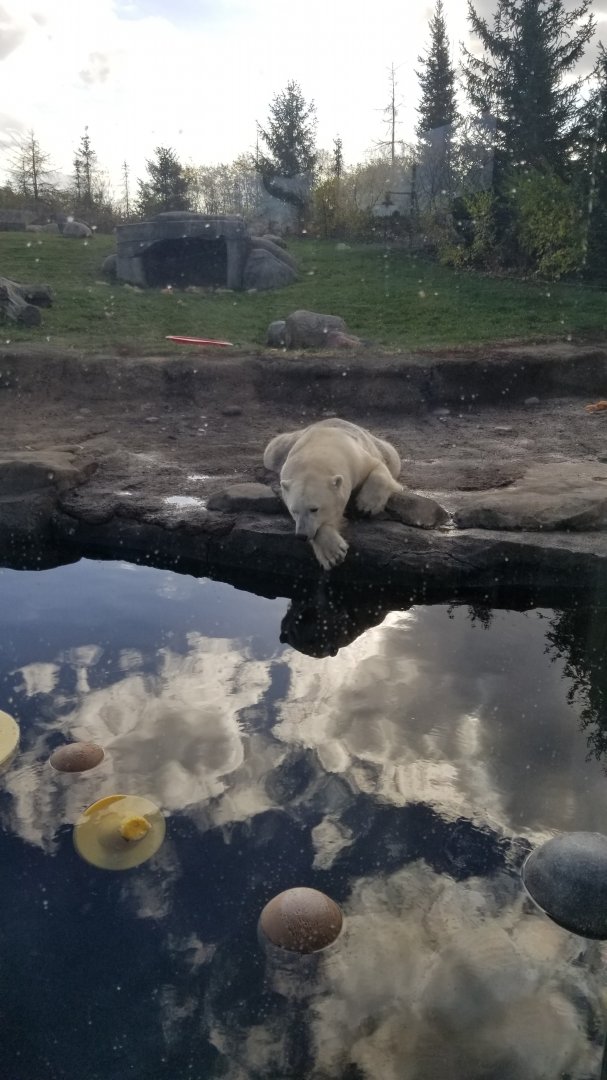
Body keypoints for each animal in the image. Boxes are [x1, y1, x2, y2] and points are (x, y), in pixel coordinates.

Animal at [263, 417, 402, 570]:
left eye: (314, 509)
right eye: (294, 510)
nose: (301, 535)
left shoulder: (357, 459)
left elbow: (377, 466)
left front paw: (366, 506)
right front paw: (333, 554)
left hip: (379, 447)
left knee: (392, 457)